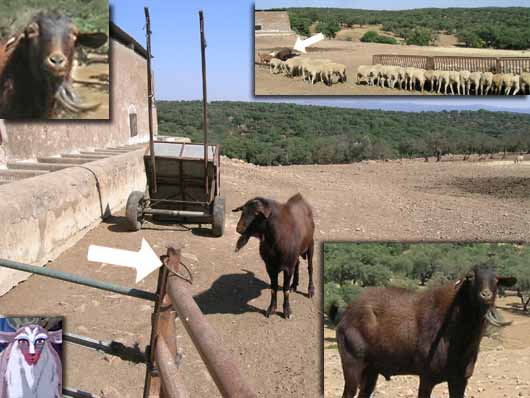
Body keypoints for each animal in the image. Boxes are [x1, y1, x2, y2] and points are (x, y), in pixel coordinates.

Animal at [336, 264, 512, 398]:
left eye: (497, 280)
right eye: (471, 277)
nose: (485, 295)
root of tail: (345, 315)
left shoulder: (460, 379)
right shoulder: (427, 377)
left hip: (371, 369)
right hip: (352, 363)